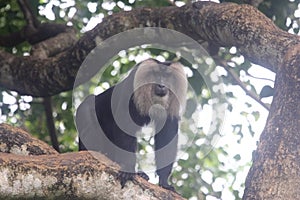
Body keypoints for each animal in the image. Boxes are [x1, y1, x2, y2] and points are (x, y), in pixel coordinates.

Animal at [76, 57, 186, 191]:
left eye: (167, 77)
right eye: (156, 74)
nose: (162, 85)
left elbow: (167, 134)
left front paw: (164, 181)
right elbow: (124, 125)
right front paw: (128, 169)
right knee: (87, 108)